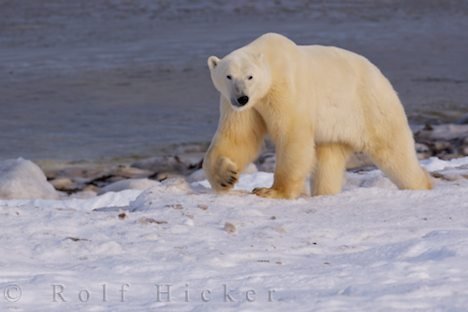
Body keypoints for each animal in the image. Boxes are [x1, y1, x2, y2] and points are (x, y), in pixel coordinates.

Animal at [203, 33, 434, 199]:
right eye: (228, 76)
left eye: (250, 76)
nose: (242, 97)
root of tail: (381, 76)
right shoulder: (242, 106)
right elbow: (238, 138)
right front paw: (226, 176)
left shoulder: (286, 90)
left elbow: (292, 136)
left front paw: (272, 191)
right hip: (337, 128)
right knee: (328, 160)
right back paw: (324, 193)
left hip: (371, 108)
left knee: (395, 152)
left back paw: (422, 184)